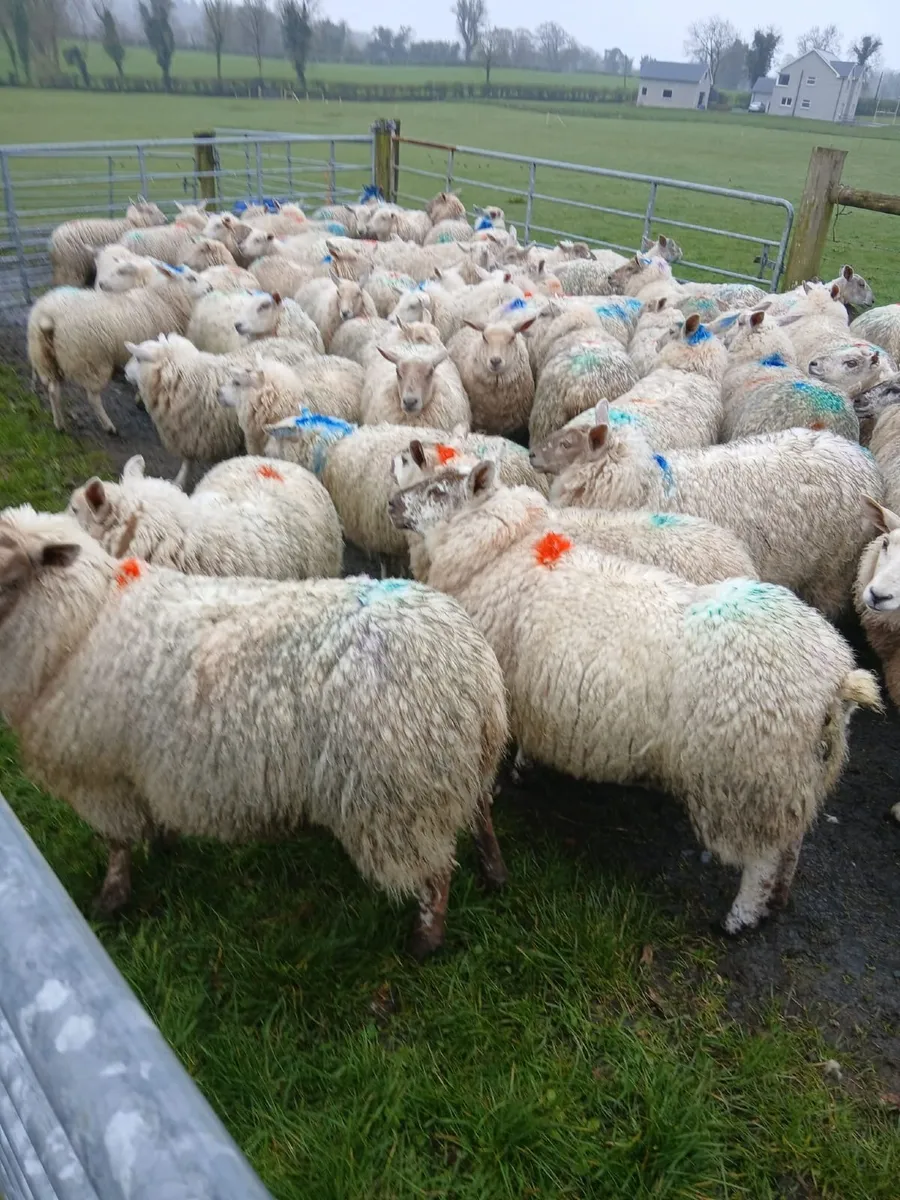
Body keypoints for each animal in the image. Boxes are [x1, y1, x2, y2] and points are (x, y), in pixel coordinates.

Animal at [0, 504, 508, 957]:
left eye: (7, 574)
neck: (82, 619)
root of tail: (474, 669)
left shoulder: (97, 776)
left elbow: (118, 844)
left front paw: (110, 901)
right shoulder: (138, 770)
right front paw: (164, 845)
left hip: (399, 799)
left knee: (434, 874)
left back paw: (425, 942)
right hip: (454, 772)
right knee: (481, 815)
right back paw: (494, 873)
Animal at [27, 258, 208, 436]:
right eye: (192, 278)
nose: (210, 288)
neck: (164, 299)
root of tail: (47, 318)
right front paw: (140, 399)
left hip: (44, 357)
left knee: (53, 390)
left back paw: (59, 424)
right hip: (90, 360)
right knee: (92, 397)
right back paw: (108, 425)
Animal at [123, 333, 314, 485]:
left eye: (139, 358)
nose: (124, 371)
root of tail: (299, 344)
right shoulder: (190, 432)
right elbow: (187, 461)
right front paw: (179, 481)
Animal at [388, 460, 878, 934]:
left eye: (438, 491)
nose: (392, 503)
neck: (500, 552)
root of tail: (837, 679)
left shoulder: (508, 685)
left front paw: (508, 776)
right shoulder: (530, 688)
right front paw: (525, 765)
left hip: (747, 778)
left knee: (762, 858)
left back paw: (740, 917)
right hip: (794, 776)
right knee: (791, 842)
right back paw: (778, 899)